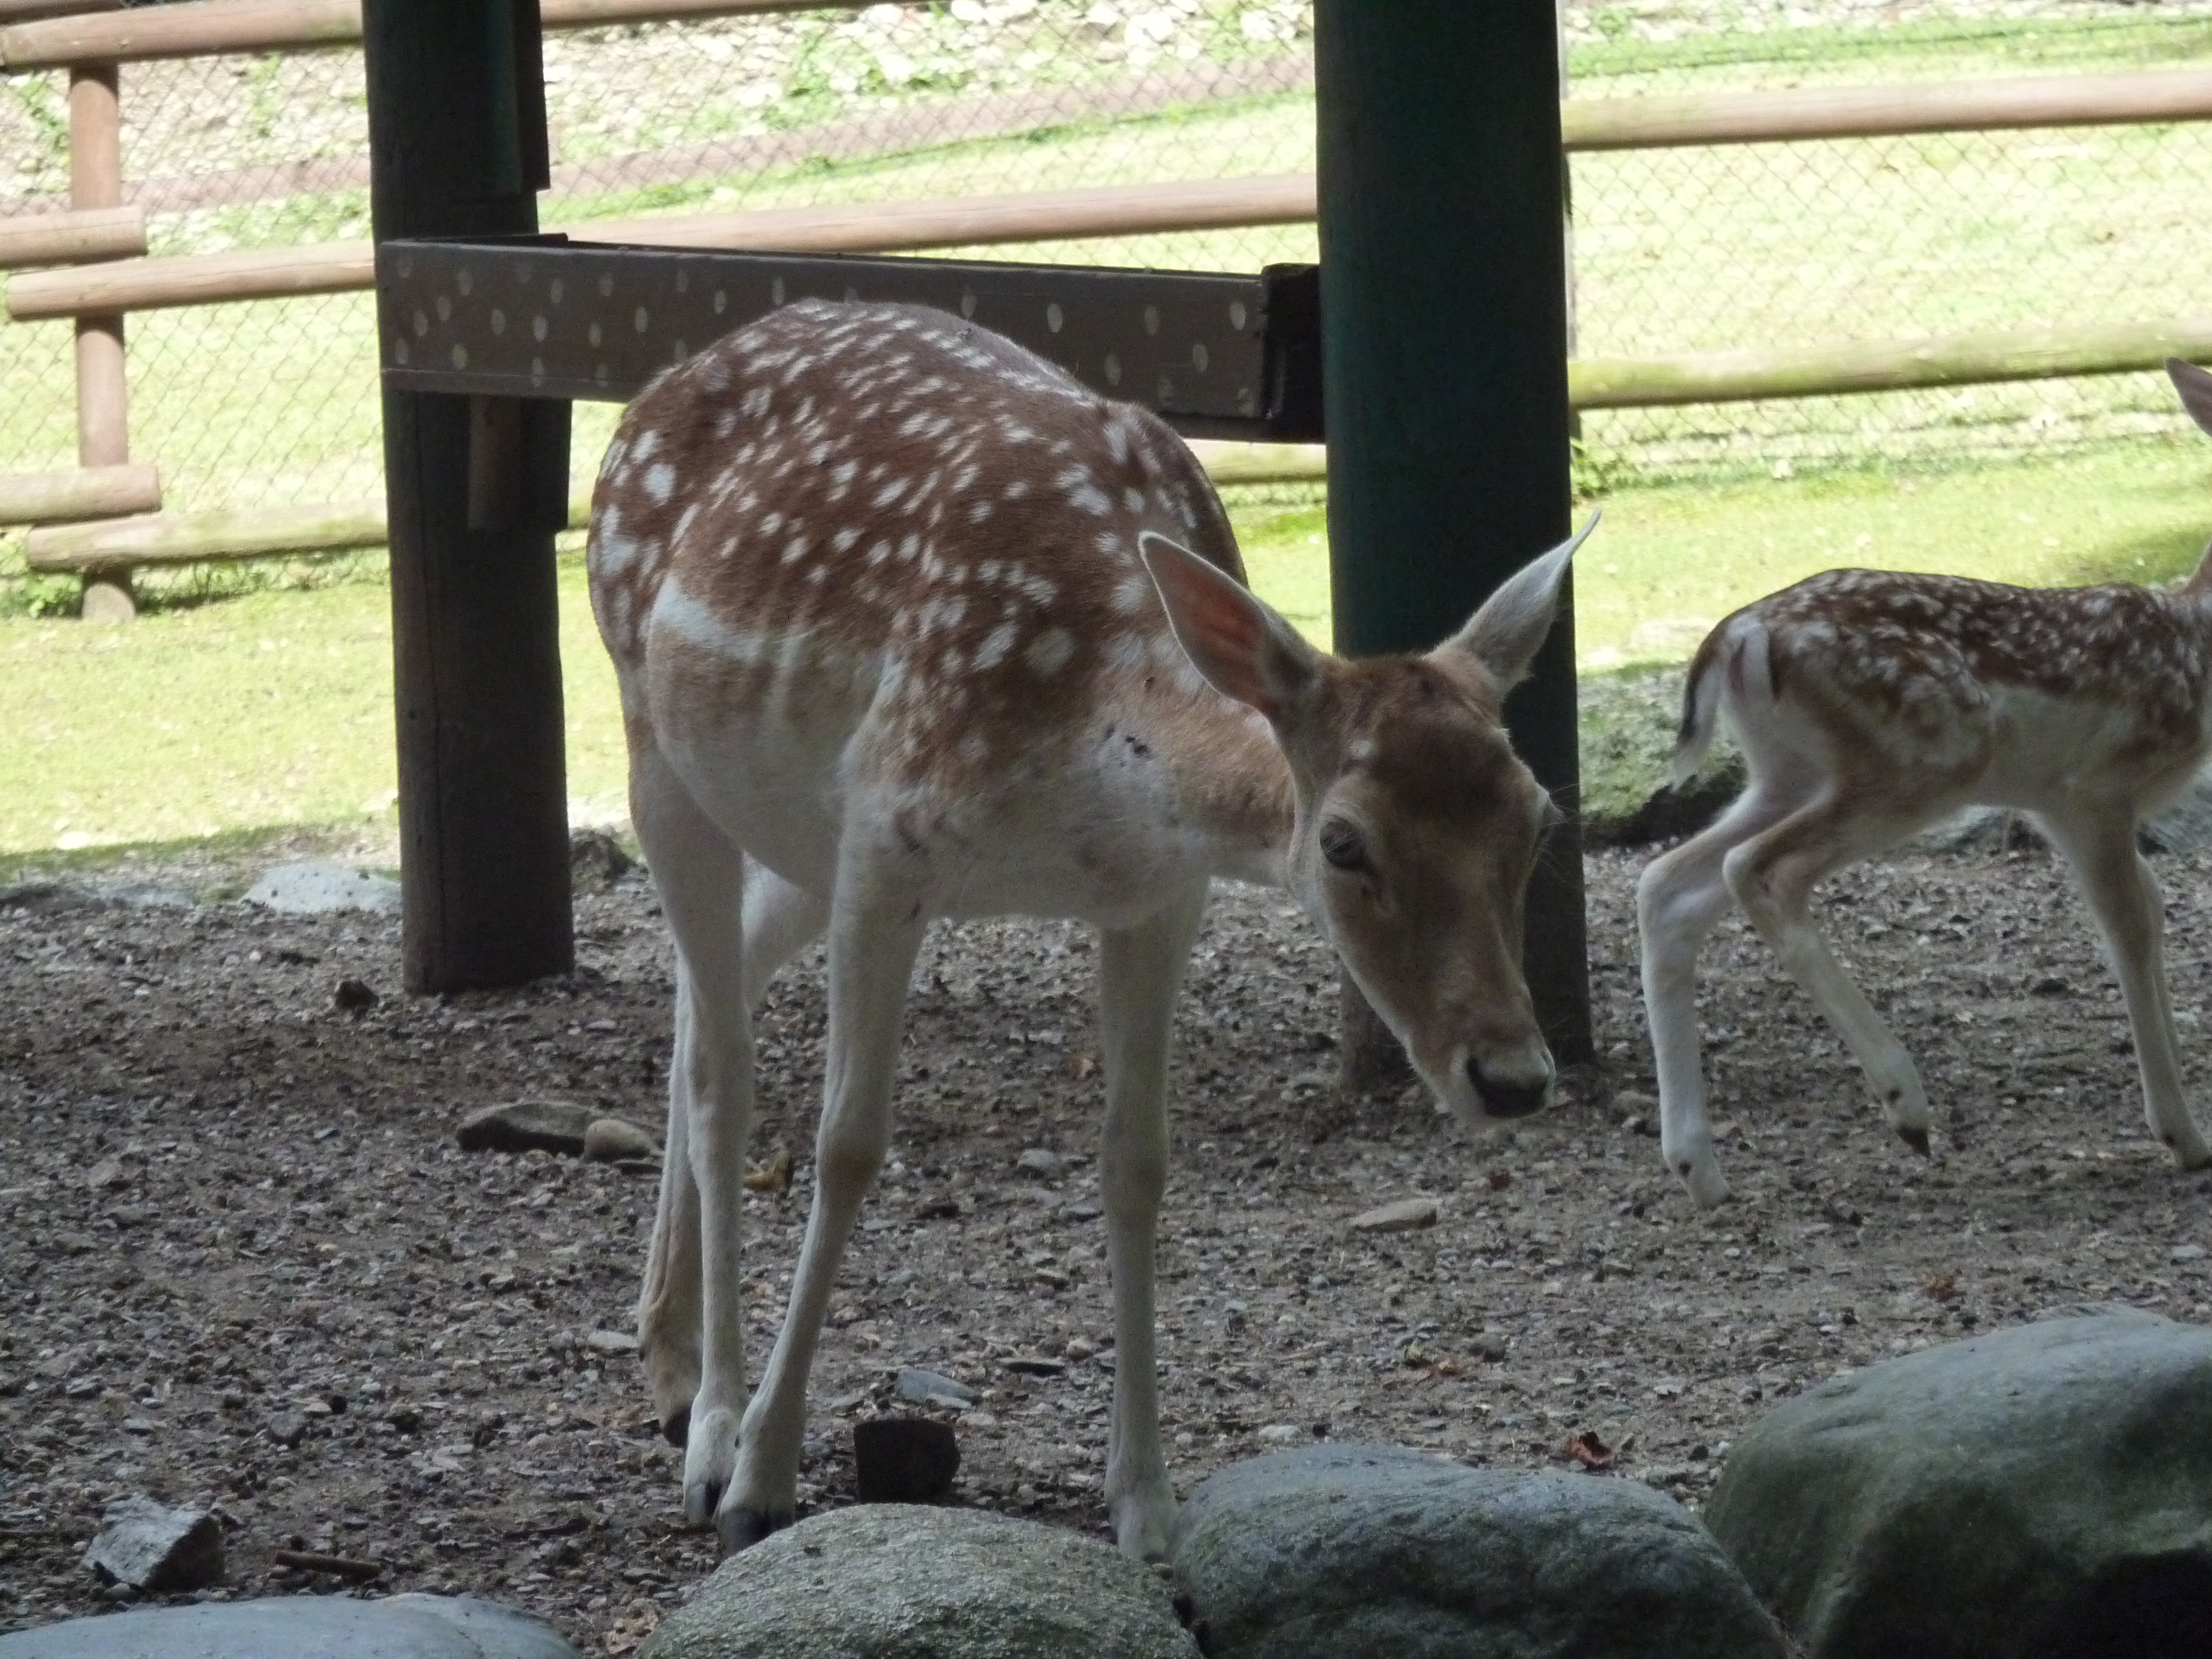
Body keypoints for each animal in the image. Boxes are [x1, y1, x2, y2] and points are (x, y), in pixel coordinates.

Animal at [588, 296, 1592, 1557]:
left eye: (1539, 816)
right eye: (1343, 842)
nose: (1511, 1075)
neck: (1088, 755)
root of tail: (651, 396)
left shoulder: (1159, 897)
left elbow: (1136, 1163)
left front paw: (1147, 1504)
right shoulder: (886, 829)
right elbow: (848, 1144)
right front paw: (766, 1474)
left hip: (788, 835)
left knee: (700, 1003)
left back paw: (669, 1368)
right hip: (656, 746)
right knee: (724, 1072)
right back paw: (715, 1432)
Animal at [1637, 358, 2212, 1212]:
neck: (2198, 642)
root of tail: (1739, 638)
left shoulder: (2068, 805)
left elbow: (2154, 911)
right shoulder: (2093, 789)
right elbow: (2130, 929)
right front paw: (2183, 1135)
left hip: (1788, 773)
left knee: (1668, 884)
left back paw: (1699, 1169)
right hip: (1923, 760)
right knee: (1763, 869)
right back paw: (1904, 1103)